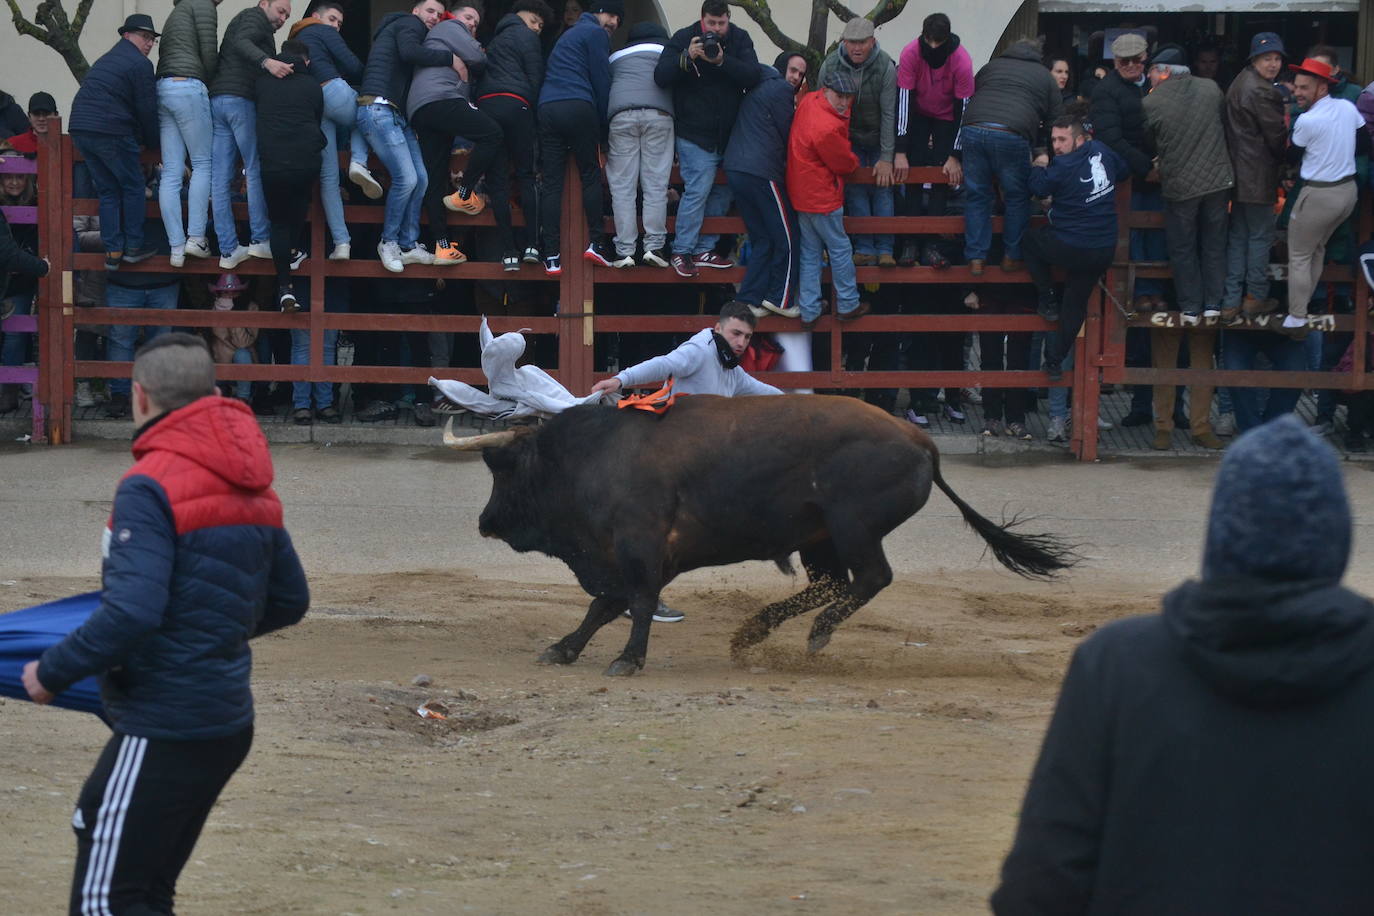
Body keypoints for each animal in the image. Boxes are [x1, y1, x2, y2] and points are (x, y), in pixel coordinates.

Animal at [445, 398, 1077, 678]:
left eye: (502, 470)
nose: (485, 521)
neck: (593, 455)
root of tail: (921, 442)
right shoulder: (638, 557)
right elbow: (606, 603)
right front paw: (565, 648)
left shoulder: (639, 548)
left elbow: (632, 603)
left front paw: (627, 660)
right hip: (820, 539)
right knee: (833, 583)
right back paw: (756, 632)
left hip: (852, 528)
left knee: (870, 578)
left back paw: (811, 635)